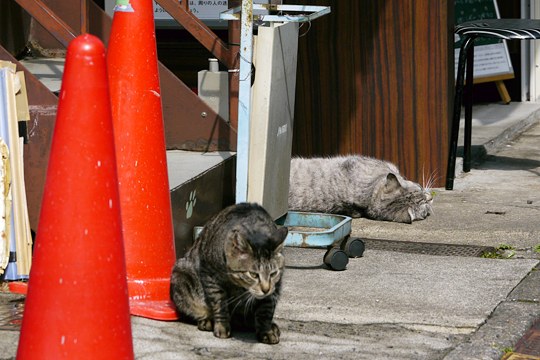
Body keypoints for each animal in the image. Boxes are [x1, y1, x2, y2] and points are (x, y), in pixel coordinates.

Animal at [170, 201, 288, 344]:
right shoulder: (210, 275)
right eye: (253, 274)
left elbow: (266, 310)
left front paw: (266, 331)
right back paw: (207, 321)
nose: (265, 290)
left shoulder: (275, 288)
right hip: (181, 275)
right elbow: (219, 303)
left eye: (273, 274)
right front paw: (221, 326)